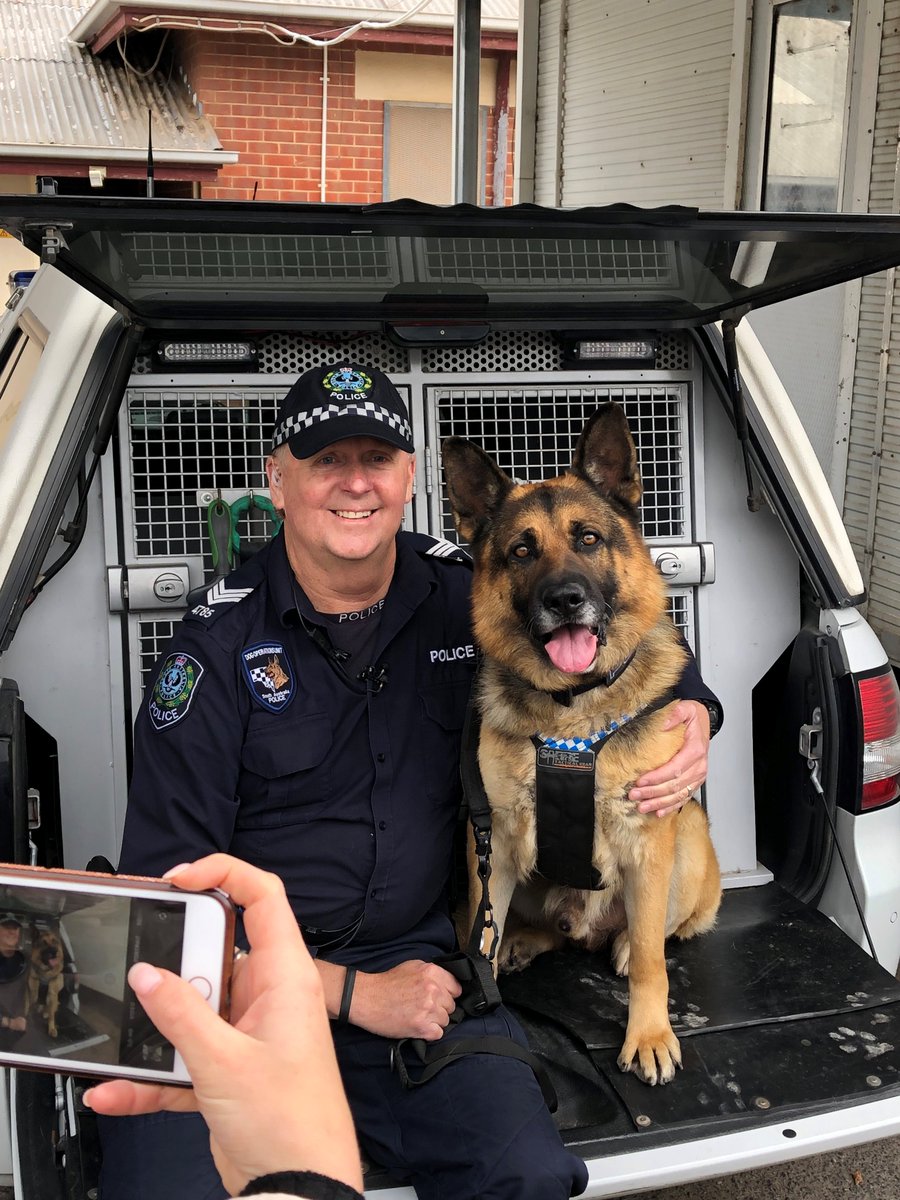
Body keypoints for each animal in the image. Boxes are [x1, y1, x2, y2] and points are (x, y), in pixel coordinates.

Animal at [441, 403, 722, 1086]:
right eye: (521, 551)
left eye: (589, 539)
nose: (564, 600)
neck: (572, 713)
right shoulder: (494, 845)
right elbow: (478, 937)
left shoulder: (646, 842)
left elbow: (651, 960)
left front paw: (648, 1034)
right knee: (553, 934)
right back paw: (525, 942)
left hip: (686, 842)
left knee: (656, 934)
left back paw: (616, 944)